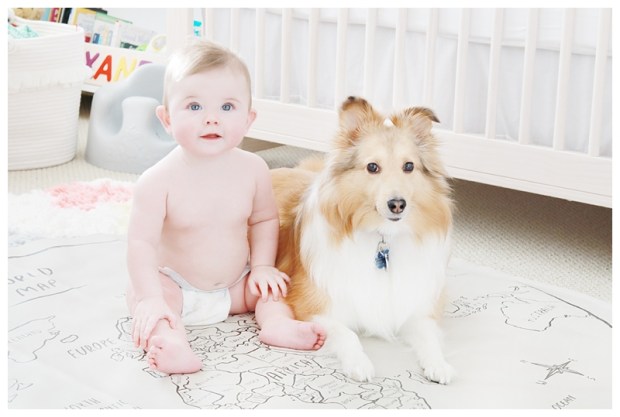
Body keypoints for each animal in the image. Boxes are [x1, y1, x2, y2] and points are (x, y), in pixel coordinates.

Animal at [271, 96, 454, 384]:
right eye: (372, 167)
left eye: (409, 166)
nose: (397, 204)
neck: (384, 237)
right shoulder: (313, 306)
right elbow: (347, 334)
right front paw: (360, 364)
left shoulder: (415, 306)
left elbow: (428, 336)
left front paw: (439, 364)